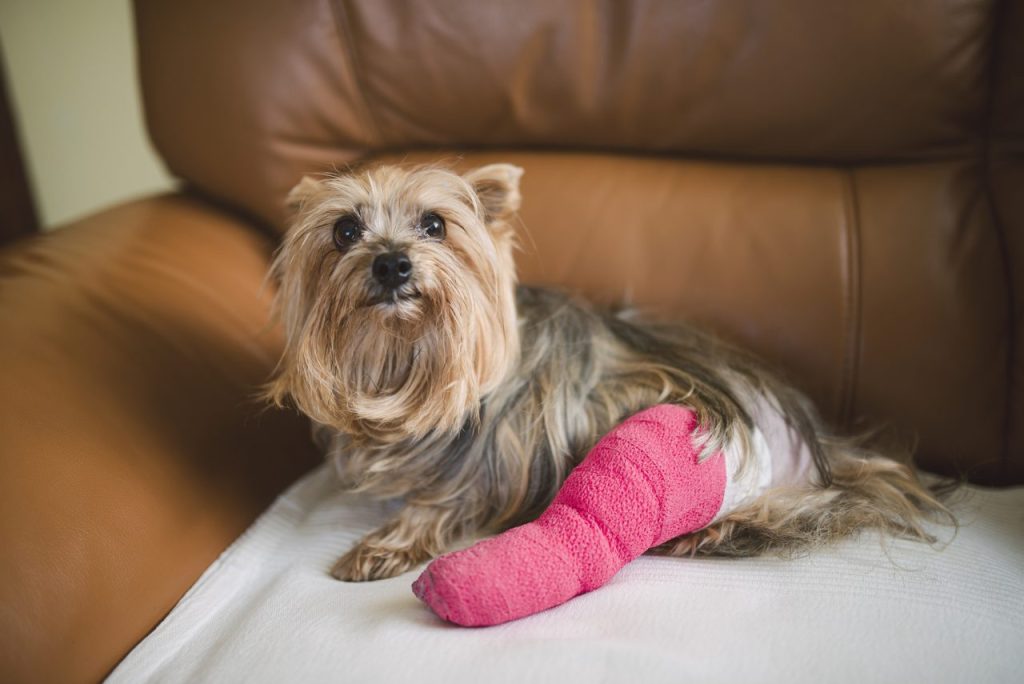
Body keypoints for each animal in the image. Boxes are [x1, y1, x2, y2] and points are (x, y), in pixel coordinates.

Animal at [264, 161, 950, 581]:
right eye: (344, 230)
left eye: (434, 224)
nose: (391, 264)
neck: (402, 357)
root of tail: (823, 443)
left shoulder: (498, 456)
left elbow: (444, 499)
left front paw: (386, 544)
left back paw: (713, 533)